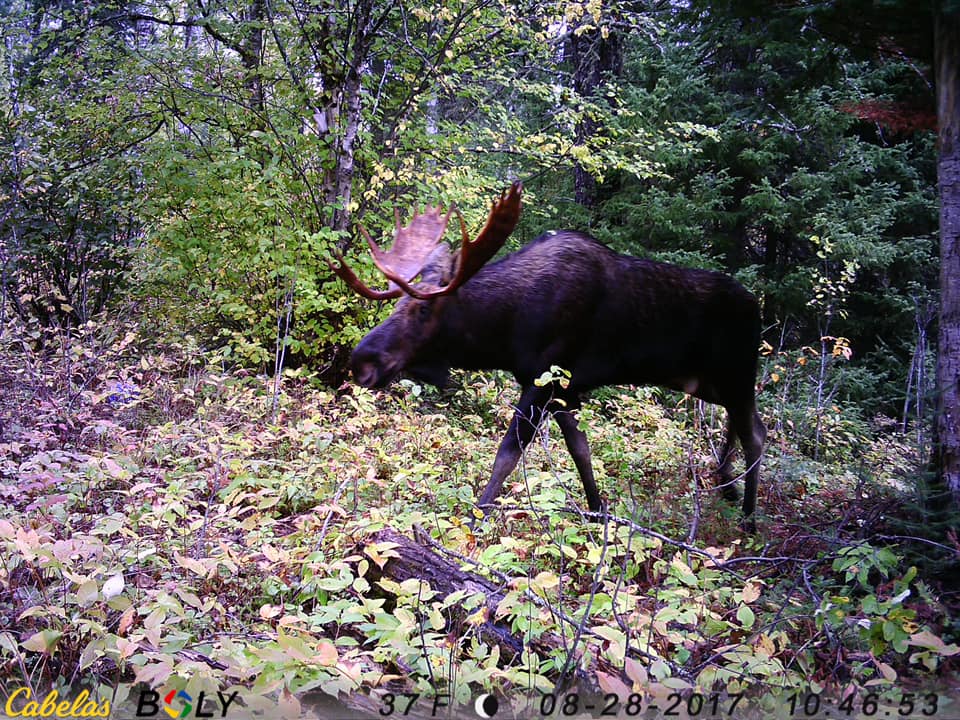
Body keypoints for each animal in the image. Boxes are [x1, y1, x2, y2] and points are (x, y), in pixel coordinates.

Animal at [329, 182, 766, 529]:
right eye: (396, 302)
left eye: (423, 309)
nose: (361, 360)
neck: (505, 330)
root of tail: (759, 307)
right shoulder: (563, 388)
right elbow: (581, 450)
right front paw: (597, 511)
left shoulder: (545, 377)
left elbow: (507, 454)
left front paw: (475, 521)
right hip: (706, 381)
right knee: (742, 424)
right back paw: (725, 485)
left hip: (738, 373)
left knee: (756, 435)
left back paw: (747, 519)